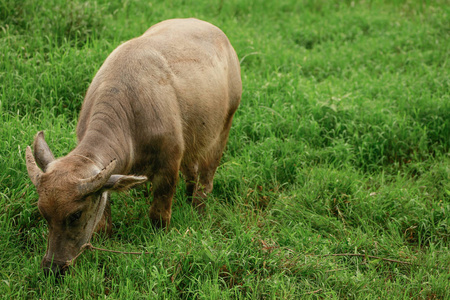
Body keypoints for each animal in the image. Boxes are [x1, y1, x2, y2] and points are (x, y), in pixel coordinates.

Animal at [24, 18, 243, 276]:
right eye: (43, 212)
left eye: (75, 215)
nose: (53, 267)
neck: (130, 117)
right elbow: (104, 220)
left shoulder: (168, 166)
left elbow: (159, 215)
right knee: (192, 170)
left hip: (224, 126)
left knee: (207, 176)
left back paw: (198, 208)